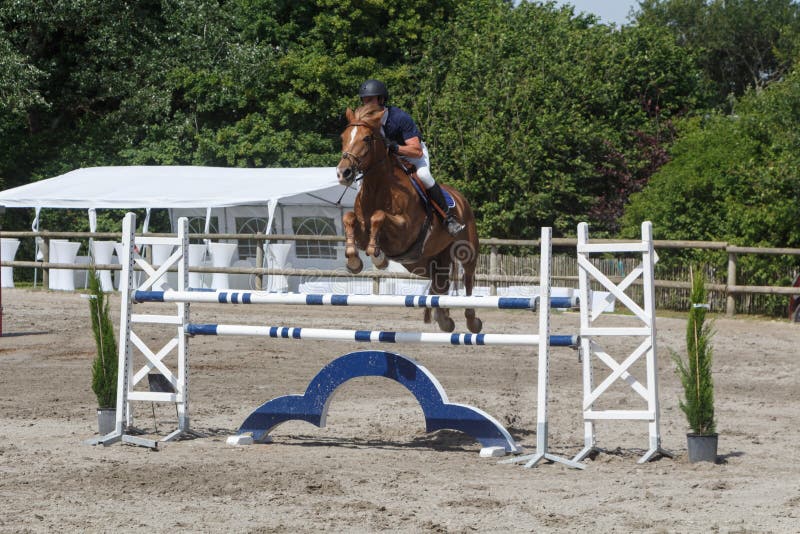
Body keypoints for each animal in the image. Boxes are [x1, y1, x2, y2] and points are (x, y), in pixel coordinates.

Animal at [336, 103, 482, 336]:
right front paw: (354, 261)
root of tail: (461, 199)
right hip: (425, 261)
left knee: (468, 279)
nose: (344, 173)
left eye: (367, 138)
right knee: (440, 283)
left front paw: (378, 257)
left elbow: (379, 216)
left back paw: (471, 321)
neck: (378, 189)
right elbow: (350, 218)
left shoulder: (404, 232)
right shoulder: (362, 228)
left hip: (466, 249)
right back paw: (444, 319)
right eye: (343, 136)